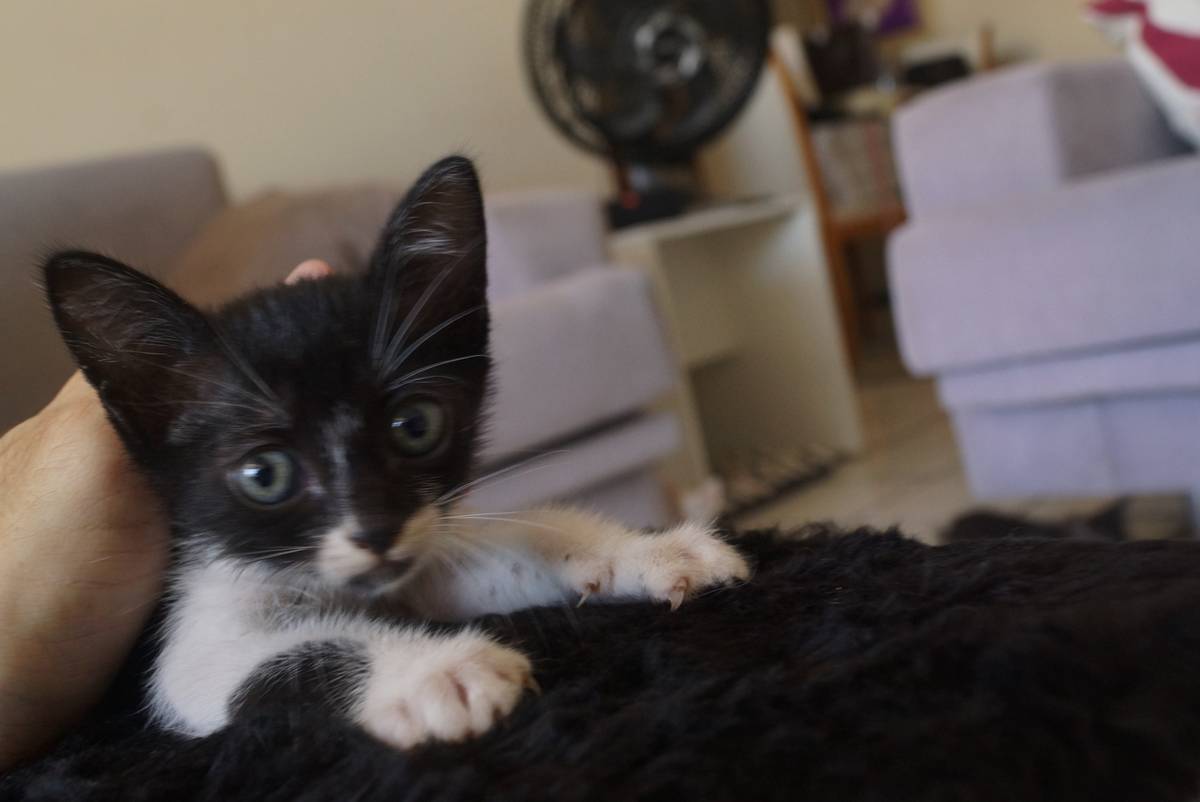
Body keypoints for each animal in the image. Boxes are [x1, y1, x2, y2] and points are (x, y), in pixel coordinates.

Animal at [43, 156, 750, 750]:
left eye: (415, 425)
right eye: (263, 474)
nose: (377, 529)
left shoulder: (418, 558)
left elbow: (503, 548)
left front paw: (645, 550)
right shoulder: (189, 634)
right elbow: (275, 657)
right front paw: (438, 673)